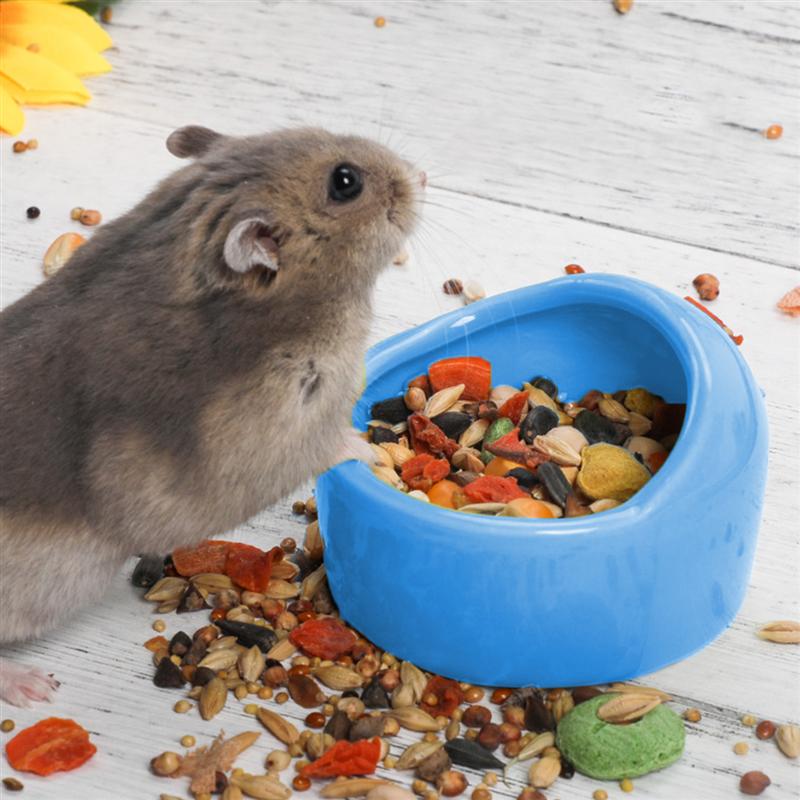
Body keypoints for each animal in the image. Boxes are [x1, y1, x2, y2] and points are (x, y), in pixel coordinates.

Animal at [0, 126, 422, 705]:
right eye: (345, 183)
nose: (422, 176)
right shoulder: (262, 438)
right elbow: (324, 444)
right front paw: (370, 449)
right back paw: (36, 687)